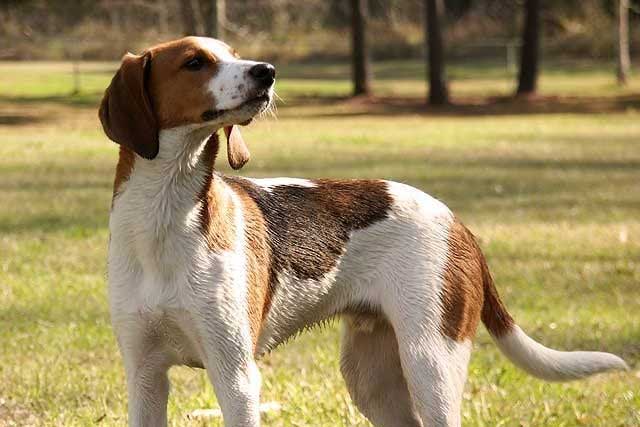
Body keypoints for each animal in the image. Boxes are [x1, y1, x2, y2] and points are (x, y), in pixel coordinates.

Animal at [97, 37, 628, 427]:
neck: (164, 216)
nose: (267, 71)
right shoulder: (144, 375)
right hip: (372, 377)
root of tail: (457, 222)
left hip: (430, 363)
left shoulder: (236, 375)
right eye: (195, 63)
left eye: (232, 52)